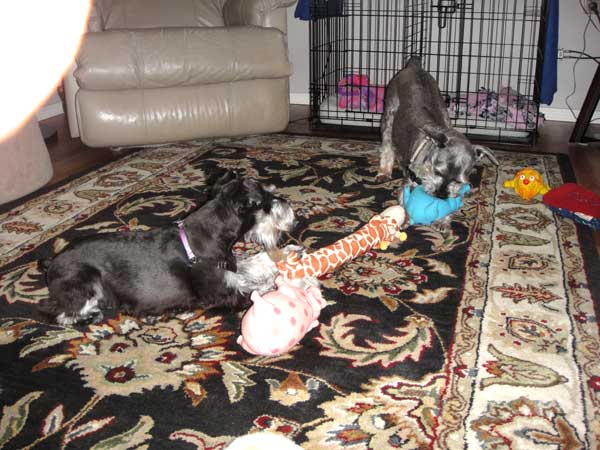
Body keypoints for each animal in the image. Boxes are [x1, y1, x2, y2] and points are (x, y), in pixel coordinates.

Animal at [38, 171, 296, 326]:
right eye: (266, 202)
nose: (290, 208)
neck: (207, 236)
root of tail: (51, 264)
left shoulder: (228, 265)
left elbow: (250, 262)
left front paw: (290, 253)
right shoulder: (222, 294)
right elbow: (258, 290)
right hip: (85, 281)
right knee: (55, 312)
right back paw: (89, 316)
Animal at [380, 55, 496, 199]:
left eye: (459, 181)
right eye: (437, 172)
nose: (441, 195)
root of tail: (414, 66)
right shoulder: (410, 183)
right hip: (389, 116)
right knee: (387, 145)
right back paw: (383, 172)